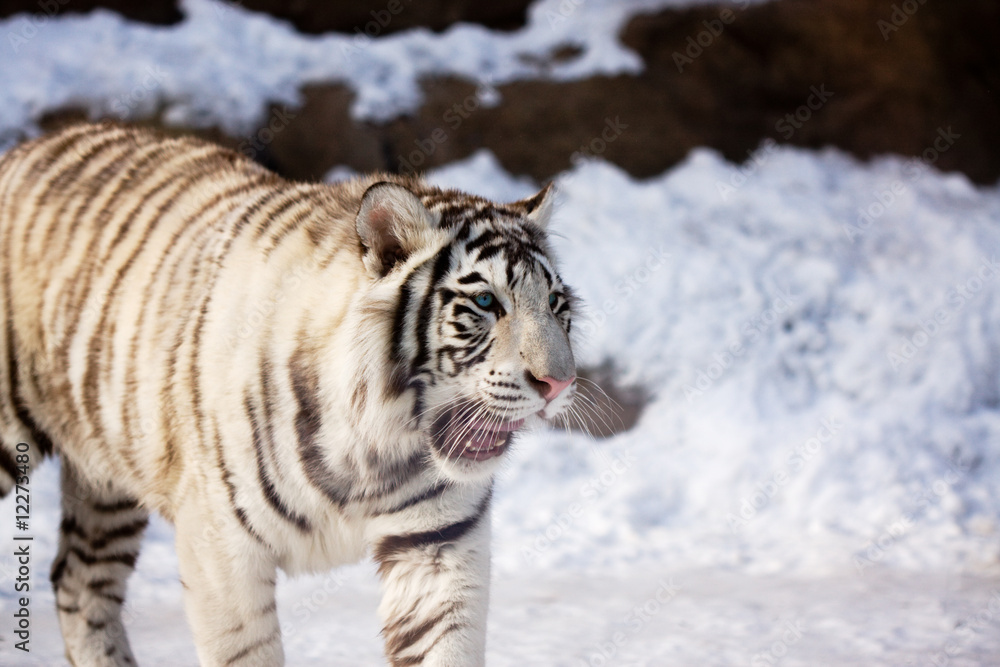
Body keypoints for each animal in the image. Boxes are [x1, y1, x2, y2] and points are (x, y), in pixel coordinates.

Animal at [0, 122, 578, 666]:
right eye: (485, 301)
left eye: (554, 302)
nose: (560, 382)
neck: (377, 444)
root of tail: (24, 148)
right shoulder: (221, 547)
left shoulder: (437, 543)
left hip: (107, 480)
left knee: (78, 581)